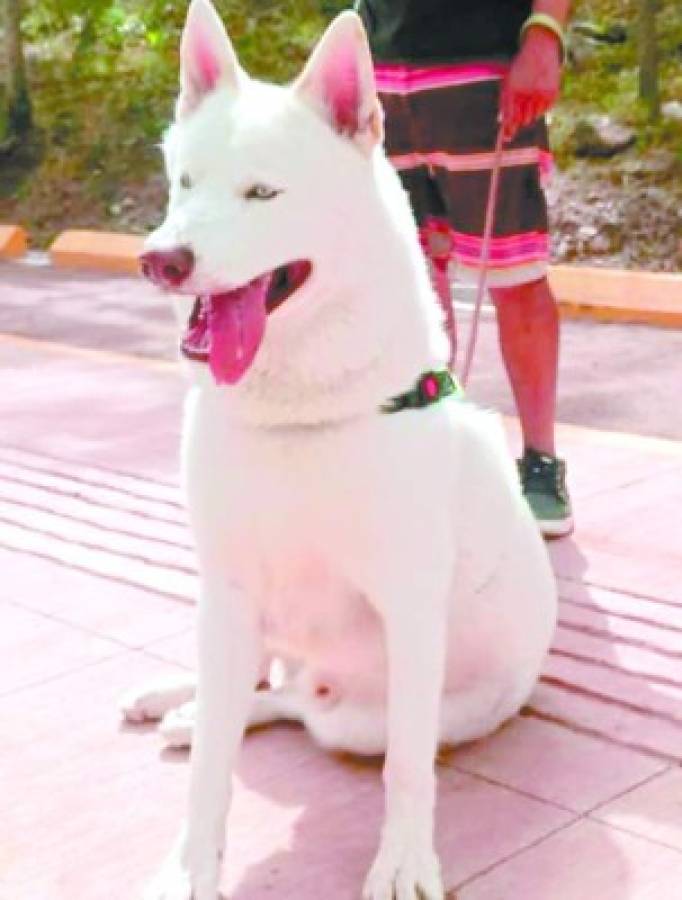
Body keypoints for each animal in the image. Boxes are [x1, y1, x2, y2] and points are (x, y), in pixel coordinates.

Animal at [123, 3, 556, 896]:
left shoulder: (409, 609)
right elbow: (211, 769)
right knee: (259, 690)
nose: (161, 260)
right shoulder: (227, 592)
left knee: (301, 709)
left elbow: (408, 771)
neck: (304, 416)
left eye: (263, 193)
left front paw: (404, 860)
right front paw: (191, 863)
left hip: (377, 713)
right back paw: (181, 702)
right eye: (185, 185)